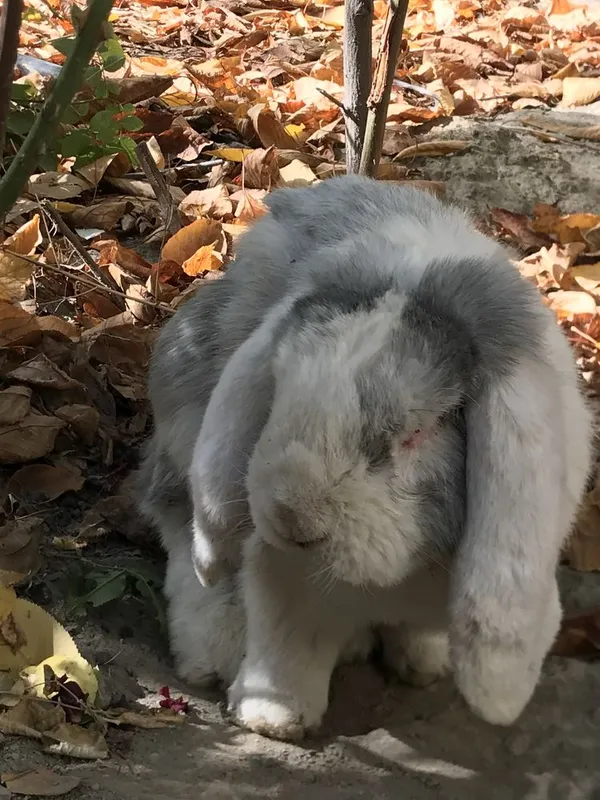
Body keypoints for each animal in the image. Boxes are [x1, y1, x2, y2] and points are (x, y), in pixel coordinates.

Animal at [137, 175, 593, 741]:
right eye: (280, 390)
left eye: (418, 432)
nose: (293, 520)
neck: (398, 575)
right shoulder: (284, 576)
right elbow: (286, 648)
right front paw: (271, 720)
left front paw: (423, 664)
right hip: (183, 414)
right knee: (180, 529)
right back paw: (211, 652)